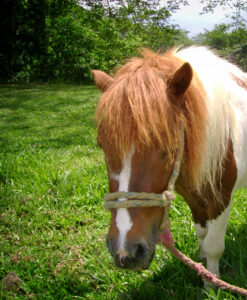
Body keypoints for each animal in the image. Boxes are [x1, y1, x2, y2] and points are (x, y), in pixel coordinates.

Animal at [91, 46, 247, 278]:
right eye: (101, 144)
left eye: (168, 148)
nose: (125, 251)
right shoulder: (194, 197)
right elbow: (201, 233)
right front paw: (201, 266)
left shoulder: (221, 199)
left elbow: (213, 246)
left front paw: (212, 282)